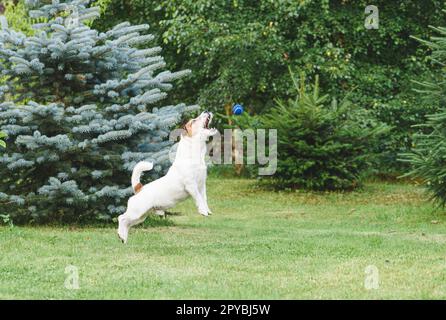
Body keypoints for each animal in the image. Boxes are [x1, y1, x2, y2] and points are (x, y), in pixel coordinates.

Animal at [117, 111, 217, 244]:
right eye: (194, 120)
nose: (206, 111)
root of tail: (139, 188)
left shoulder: (202, 185)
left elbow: (204, 199)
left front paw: (207, 210)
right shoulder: (191, 185)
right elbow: (198, 198)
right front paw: (202, 211)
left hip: (141, 216)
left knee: (127, 223)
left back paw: (123, 237)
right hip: (136, 211)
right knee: (121, 218)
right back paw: (121, 235)